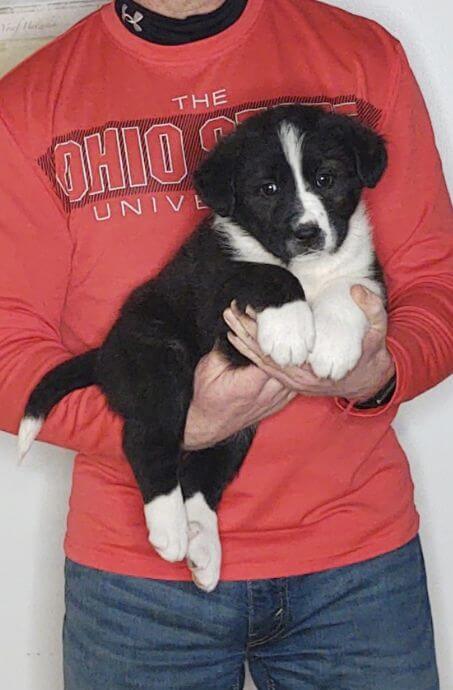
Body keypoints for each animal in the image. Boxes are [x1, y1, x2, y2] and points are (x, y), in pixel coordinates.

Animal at [17, 105, 384, 588]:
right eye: (267, 190)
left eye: (327, 179)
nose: (306, 233)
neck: (307, 267)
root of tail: (105, 354)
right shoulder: (216, 288)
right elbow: (266, 272)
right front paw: (290, 330)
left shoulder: (367, 274)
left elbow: (347, 288)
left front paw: (334, 347)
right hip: (160, 361)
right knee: (146, 439)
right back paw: (170, 529)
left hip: (237, 425)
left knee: (200, 477)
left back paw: (204, 549)